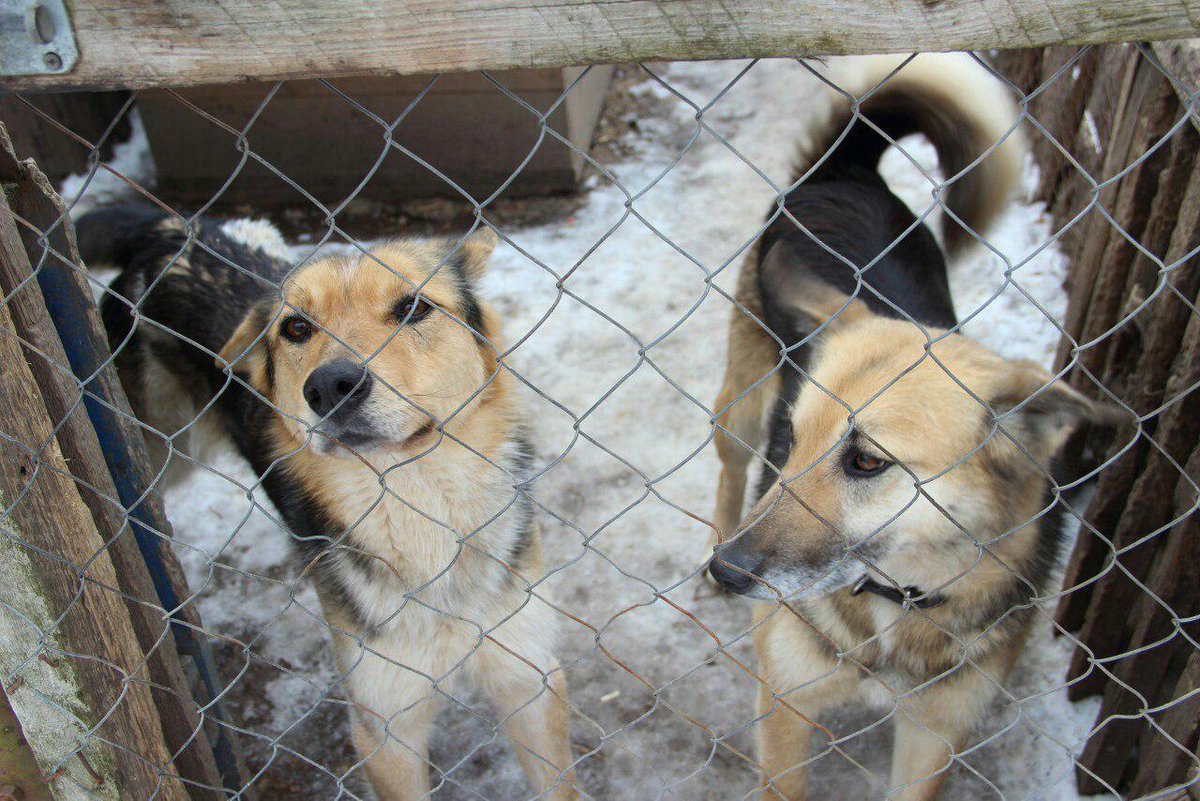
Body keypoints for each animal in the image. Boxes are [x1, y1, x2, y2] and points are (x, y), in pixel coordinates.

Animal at [77, 208, 578, 801]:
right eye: (296, 328)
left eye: (412, 308)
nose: (331, 386)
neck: (418, 506)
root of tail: (169, 228)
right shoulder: (384, 726)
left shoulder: (531, 681)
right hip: (158, 446)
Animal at [705, 53, 1118, 796]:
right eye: (795, 438)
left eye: (867, 461)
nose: (728, 572)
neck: (897, 601)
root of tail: (849, 171)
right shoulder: (784, 710)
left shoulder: (935, 735)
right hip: (743, 404)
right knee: (729, 462)